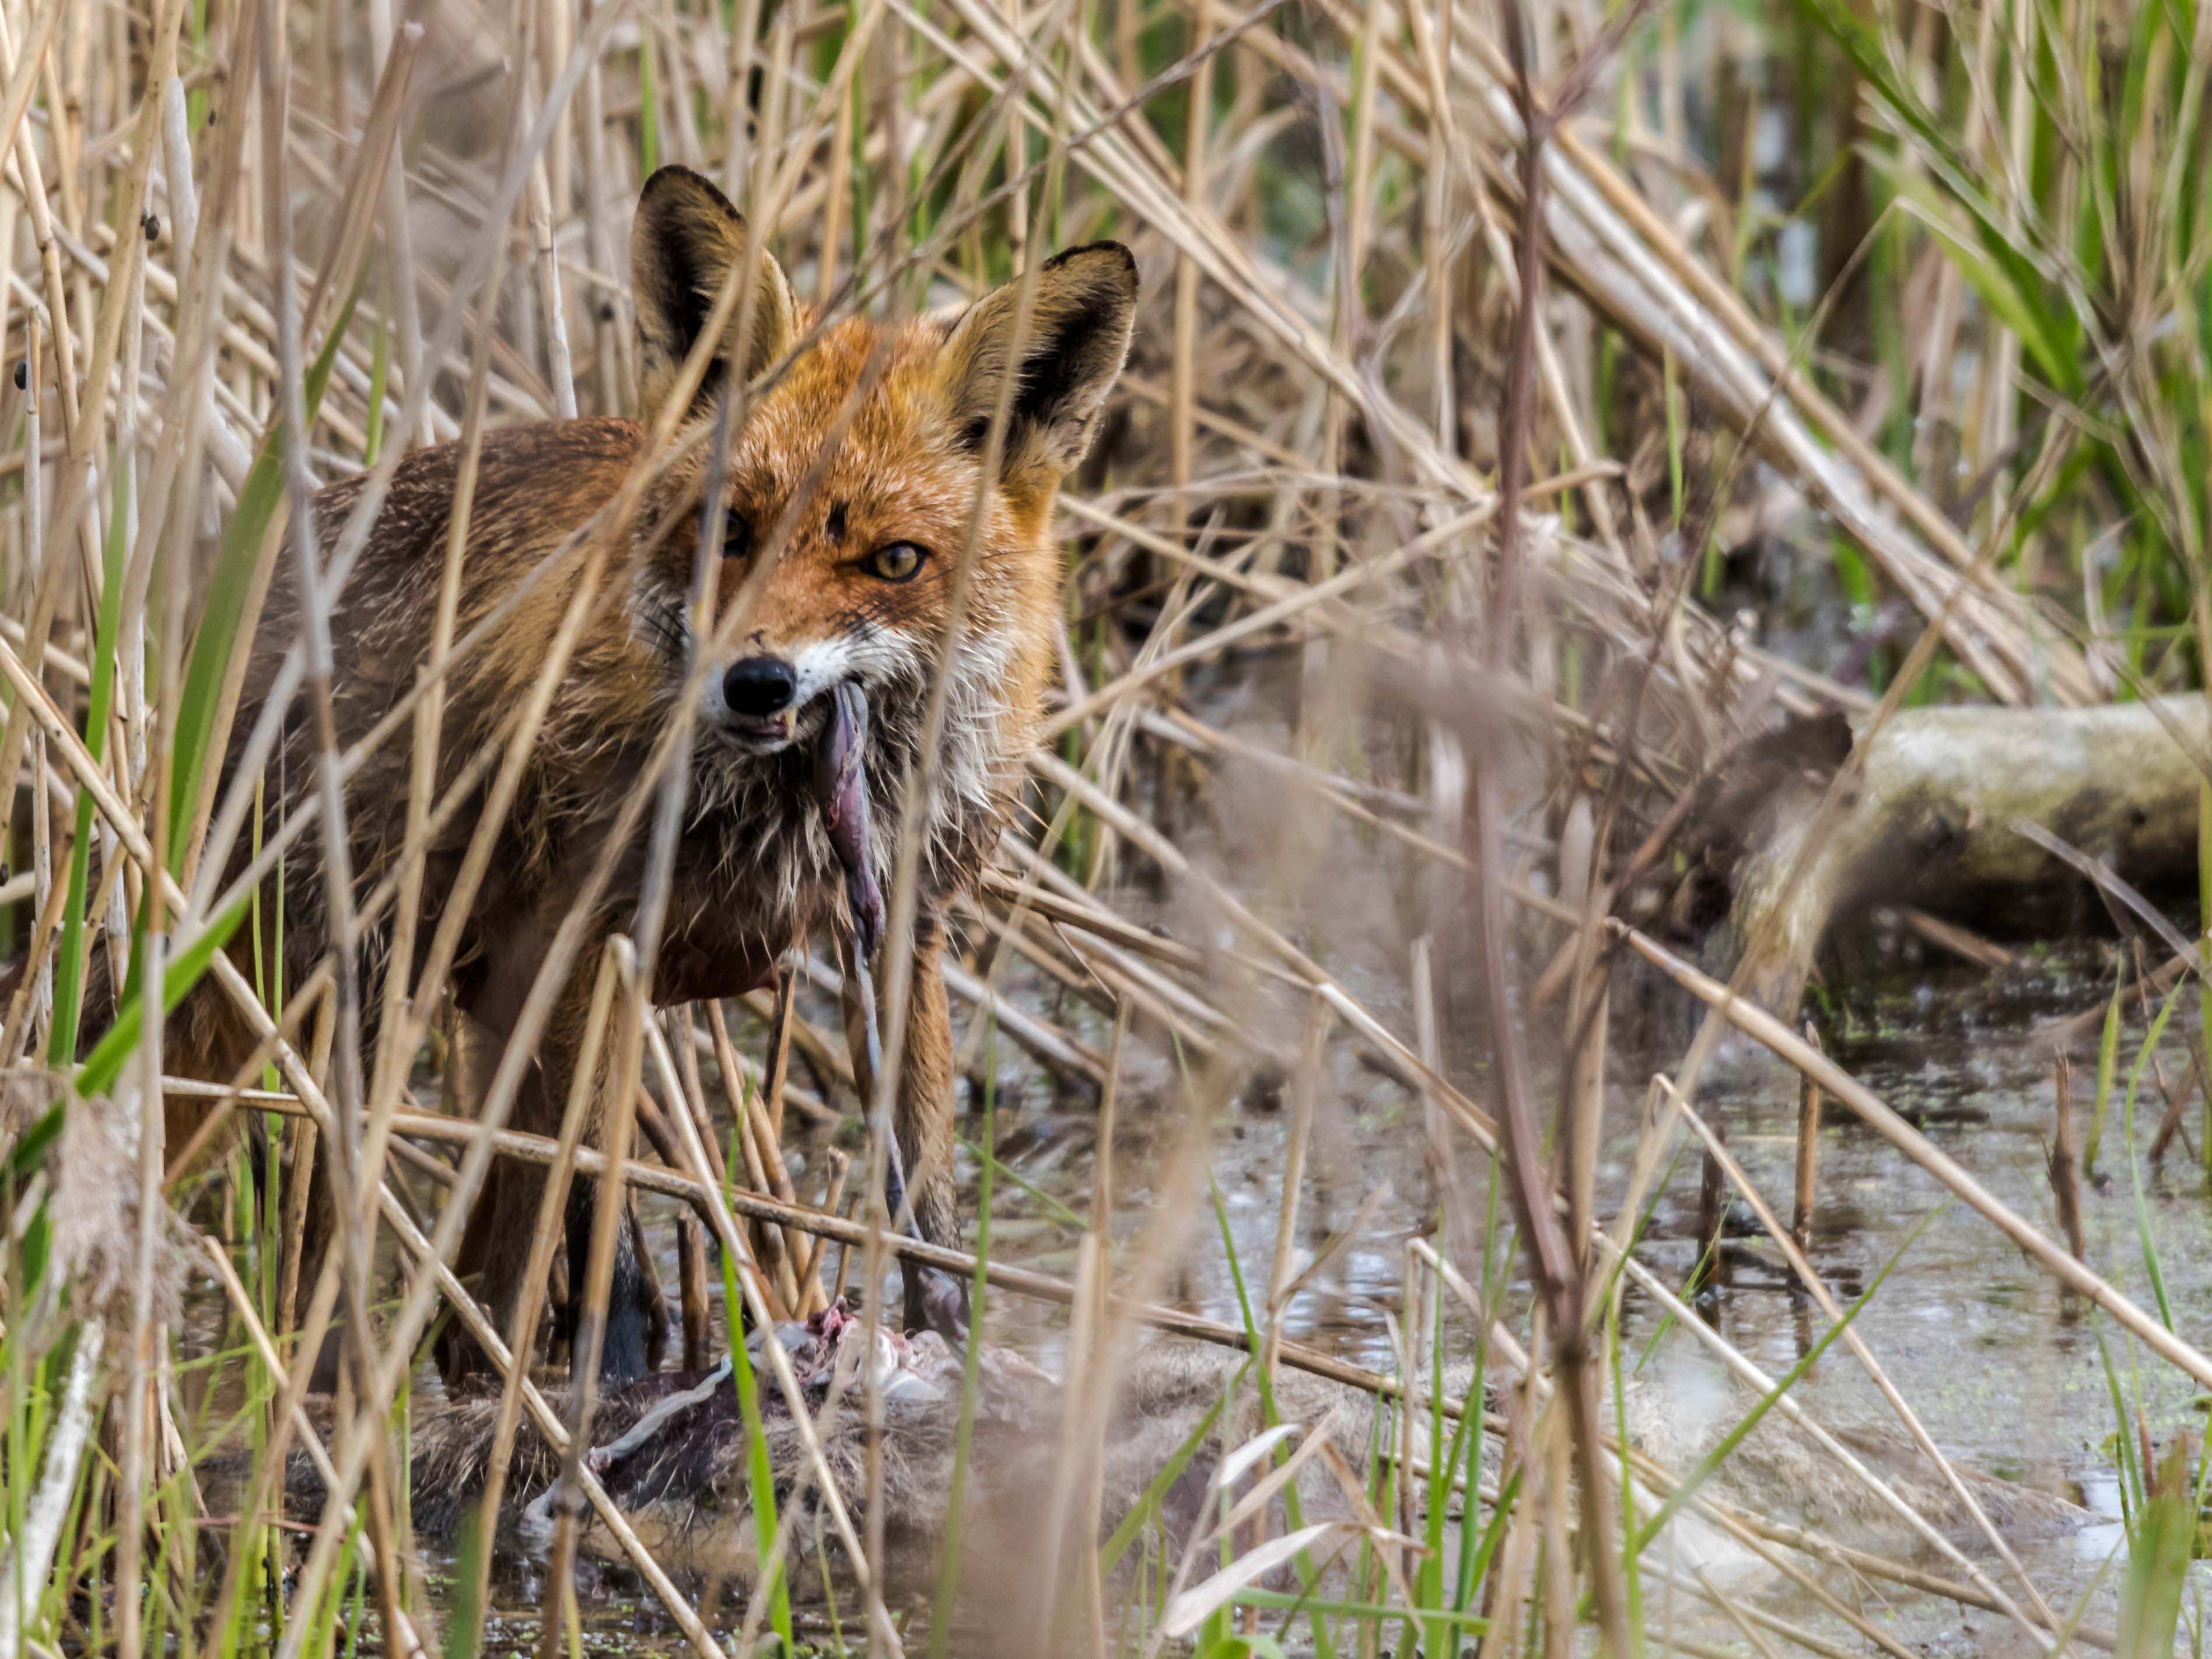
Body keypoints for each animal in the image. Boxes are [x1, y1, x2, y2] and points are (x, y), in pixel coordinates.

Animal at [134, 163, 1138, 1380]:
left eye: (894, 560)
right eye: (730, 529)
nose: (754, 680)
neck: (764, 821)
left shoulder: (907, 921)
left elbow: (931, 1194)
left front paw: (948, 1347)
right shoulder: (588, 936)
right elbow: (584, 1220)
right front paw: (594, 1384)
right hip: (355, 990)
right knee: (358, 1238)